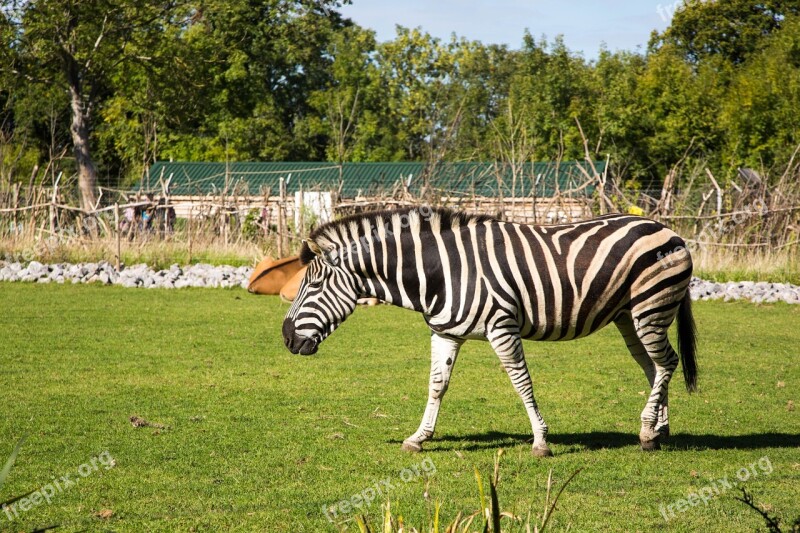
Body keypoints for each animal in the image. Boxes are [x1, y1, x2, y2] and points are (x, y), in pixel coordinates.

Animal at [282, 206, 692, 456]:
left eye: (313, 286)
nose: (286, 338)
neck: (441, 272)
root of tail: (668, 229)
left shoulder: (502, 327)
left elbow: (522, 383)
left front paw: (541, 442)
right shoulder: (445, 333)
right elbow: (437, 385)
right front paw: (418, 438)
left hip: (651, 308)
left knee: (668, 363)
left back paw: (647, 432)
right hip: (628, 316)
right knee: (654, 367)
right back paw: (658, 430)